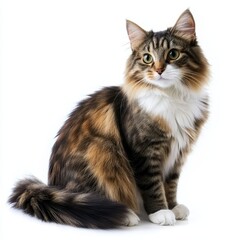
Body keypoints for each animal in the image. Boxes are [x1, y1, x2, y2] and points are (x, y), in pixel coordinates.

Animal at [8, 9, 209, 229]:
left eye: (173, 54)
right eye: (147, 58)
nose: (158, 70)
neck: (171, 96)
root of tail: (51, 186)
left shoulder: (178, 155)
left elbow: (170, 185)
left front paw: (173, 207)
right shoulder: (145, 152)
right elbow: (153, 186)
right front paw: (161, 213)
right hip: (101, 150)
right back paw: (126, 215)